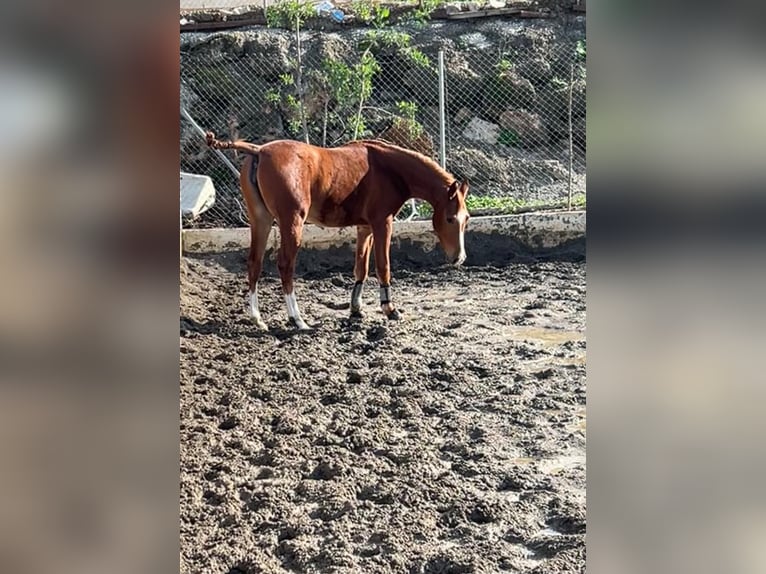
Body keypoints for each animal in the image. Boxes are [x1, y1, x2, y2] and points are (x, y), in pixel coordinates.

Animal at [206, 133, 468, 330]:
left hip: (260, 220)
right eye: (450, 218)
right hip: (292, 223)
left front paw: (356, 309)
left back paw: (257, 319)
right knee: (285, 266)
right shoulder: (382, 223)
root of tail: (259, 150)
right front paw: (390, 309)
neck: (388, 169)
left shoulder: (365, 228)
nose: (459, 258)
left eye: (466, 219)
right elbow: (383, 266)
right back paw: (297, 320)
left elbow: (361, 268)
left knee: (254, 263)